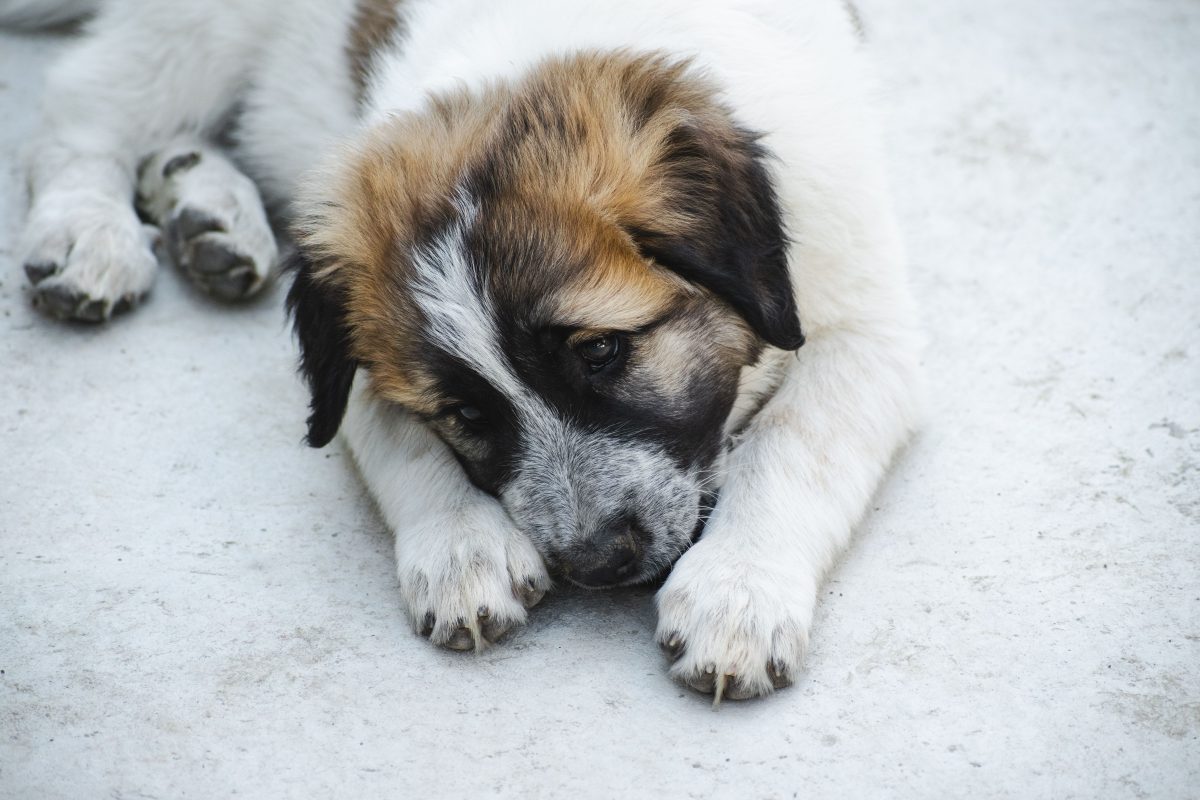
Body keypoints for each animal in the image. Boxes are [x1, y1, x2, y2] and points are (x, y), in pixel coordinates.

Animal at [14, 0, 921, 700]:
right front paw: (462, 550)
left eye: (601, 352)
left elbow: (795, 443)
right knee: (83, 107)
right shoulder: (357, 372)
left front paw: (738, 594)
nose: (596, 562)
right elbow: (399, 441)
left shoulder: (869, 325)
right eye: (464, 413)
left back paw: (204, 209)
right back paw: (90, 229)